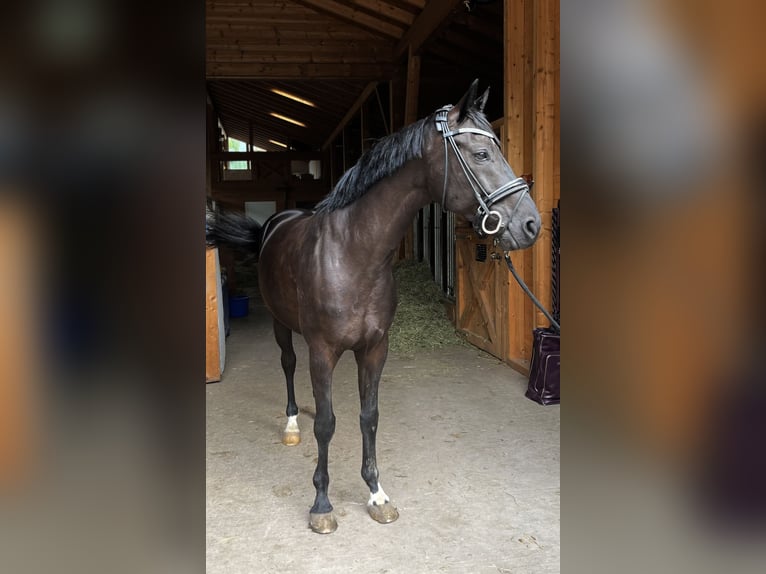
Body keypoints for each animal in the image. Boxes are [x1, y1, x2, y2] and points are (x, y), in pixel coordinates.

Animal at [207, 81, 544, 536]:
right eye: (481, 155)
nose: (531, 225)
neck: (353, 253)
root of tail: (276, 223)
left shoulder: (374, 349)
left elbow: (369, 416)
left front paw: (376, 494)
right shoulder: (323, 351)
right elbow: (327, 424)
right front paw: (322, 504)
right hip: (282, 326)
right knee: (288, 366)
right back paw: (292, 423)